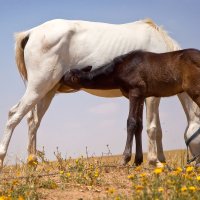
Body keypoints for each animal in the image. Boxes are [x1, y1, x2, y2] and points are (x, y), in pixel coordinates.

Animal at [62, 48, 200, 166]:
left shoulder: (135, 92)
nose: (59, 82)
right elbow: (139, 125)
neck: (120, 69)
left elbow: (131, 122)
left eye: (66, 78)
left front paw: (125, 158)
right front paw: (138, 160)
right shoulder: (141, 96)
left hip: (194, 91)